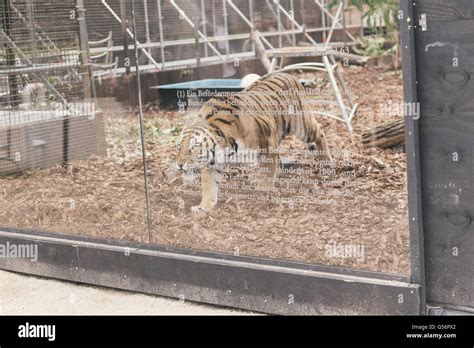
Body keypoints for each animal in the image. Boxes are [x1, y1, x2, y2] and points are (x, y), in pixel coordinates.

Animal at [175, 72, 334, 213]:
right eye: (179, 146)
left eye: (194, 146)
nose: (179, 164)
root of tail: (289, 74)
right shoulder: (212, 164)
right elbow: (209, 186)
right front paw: (203, 207)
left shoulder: (268, 146)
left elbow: (267, 172)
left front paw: (262, 191)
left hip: (302, 127)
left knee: (320, 129)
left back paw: (327, 161)